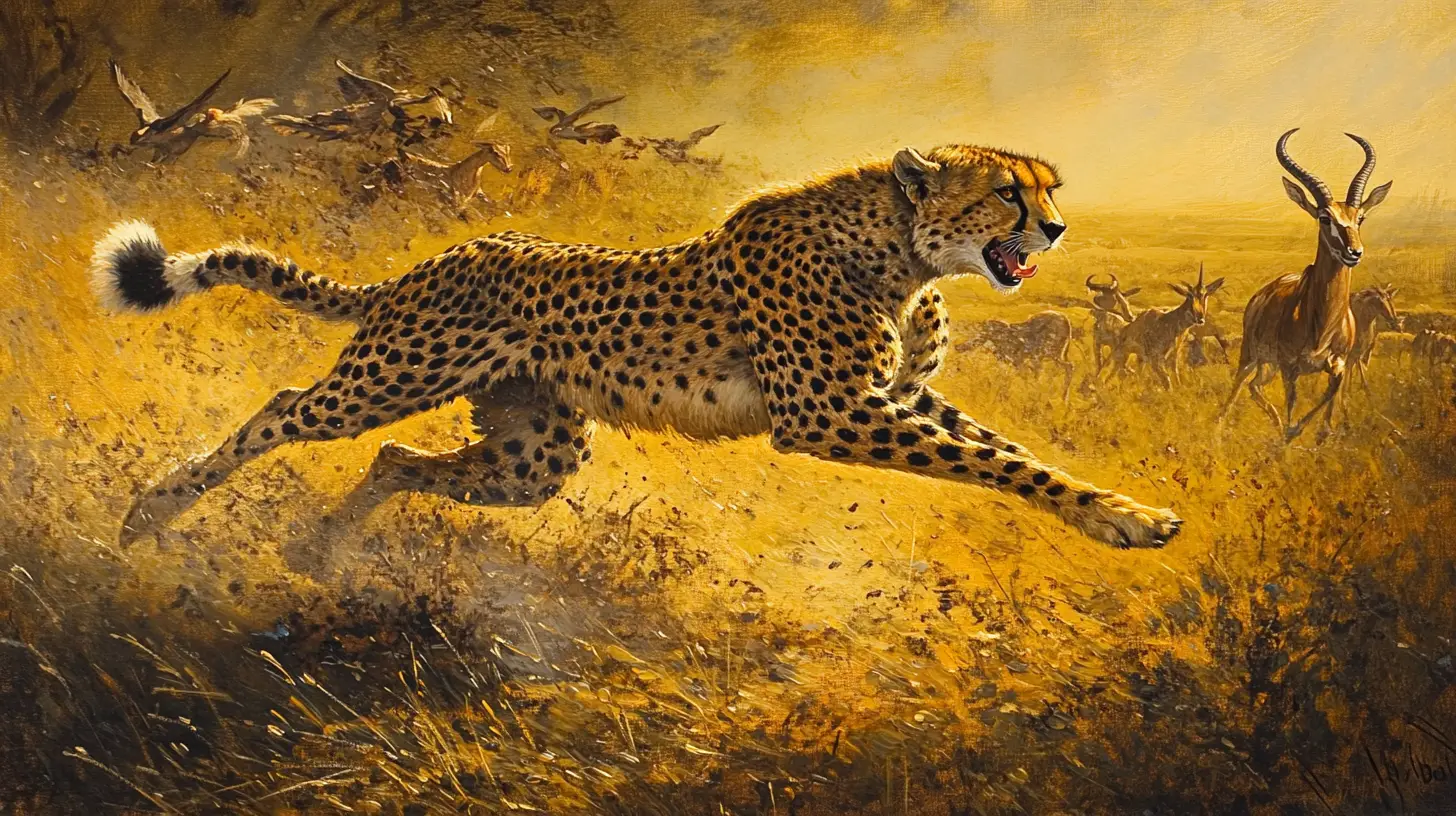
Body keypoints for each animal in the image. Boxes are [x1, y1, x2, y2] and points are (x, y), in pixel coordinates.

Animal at [90, 144, 1183, 550]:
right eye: (1005, 192)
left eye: (1047, 190)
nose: (1056, 232)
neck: (906, 254)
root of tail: (441, 254)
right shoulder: (828, 413)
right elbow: (991, 464)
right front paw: (1120, 520)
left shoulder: (896, 396)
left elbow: (1010, 452)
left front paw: (1118, 508)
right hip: (392, 374)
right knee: (286, 410)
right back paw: (151, 509)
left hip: (534, 454)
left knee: (398, 457)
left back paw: (325, 551)